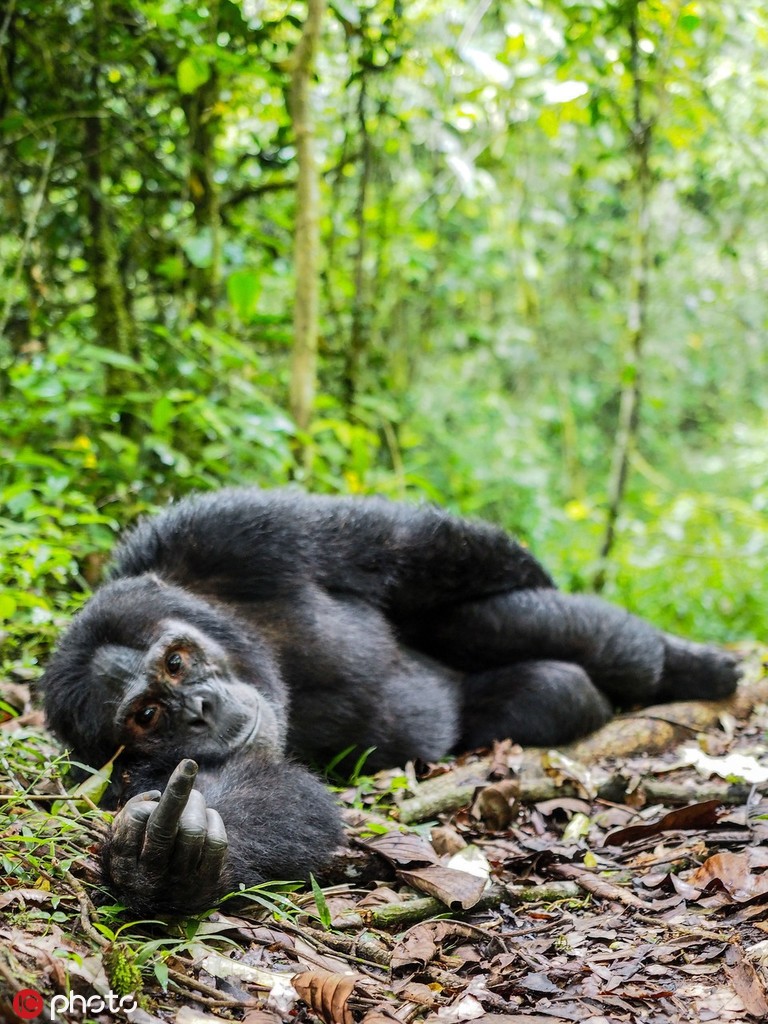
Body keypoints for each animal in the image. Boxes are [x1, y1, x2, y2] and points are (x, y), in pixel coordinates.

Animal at [40, 487, 741, 913]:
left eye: (177, 662)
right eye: (147, 716)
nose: (199, 709)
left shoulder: (231, 532)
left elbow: (409, 545)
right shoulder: (121, 776)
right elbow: (267, 791)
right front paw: (169, 857)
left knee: (502, 620)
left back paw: (689, 668)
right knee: (555, 689)